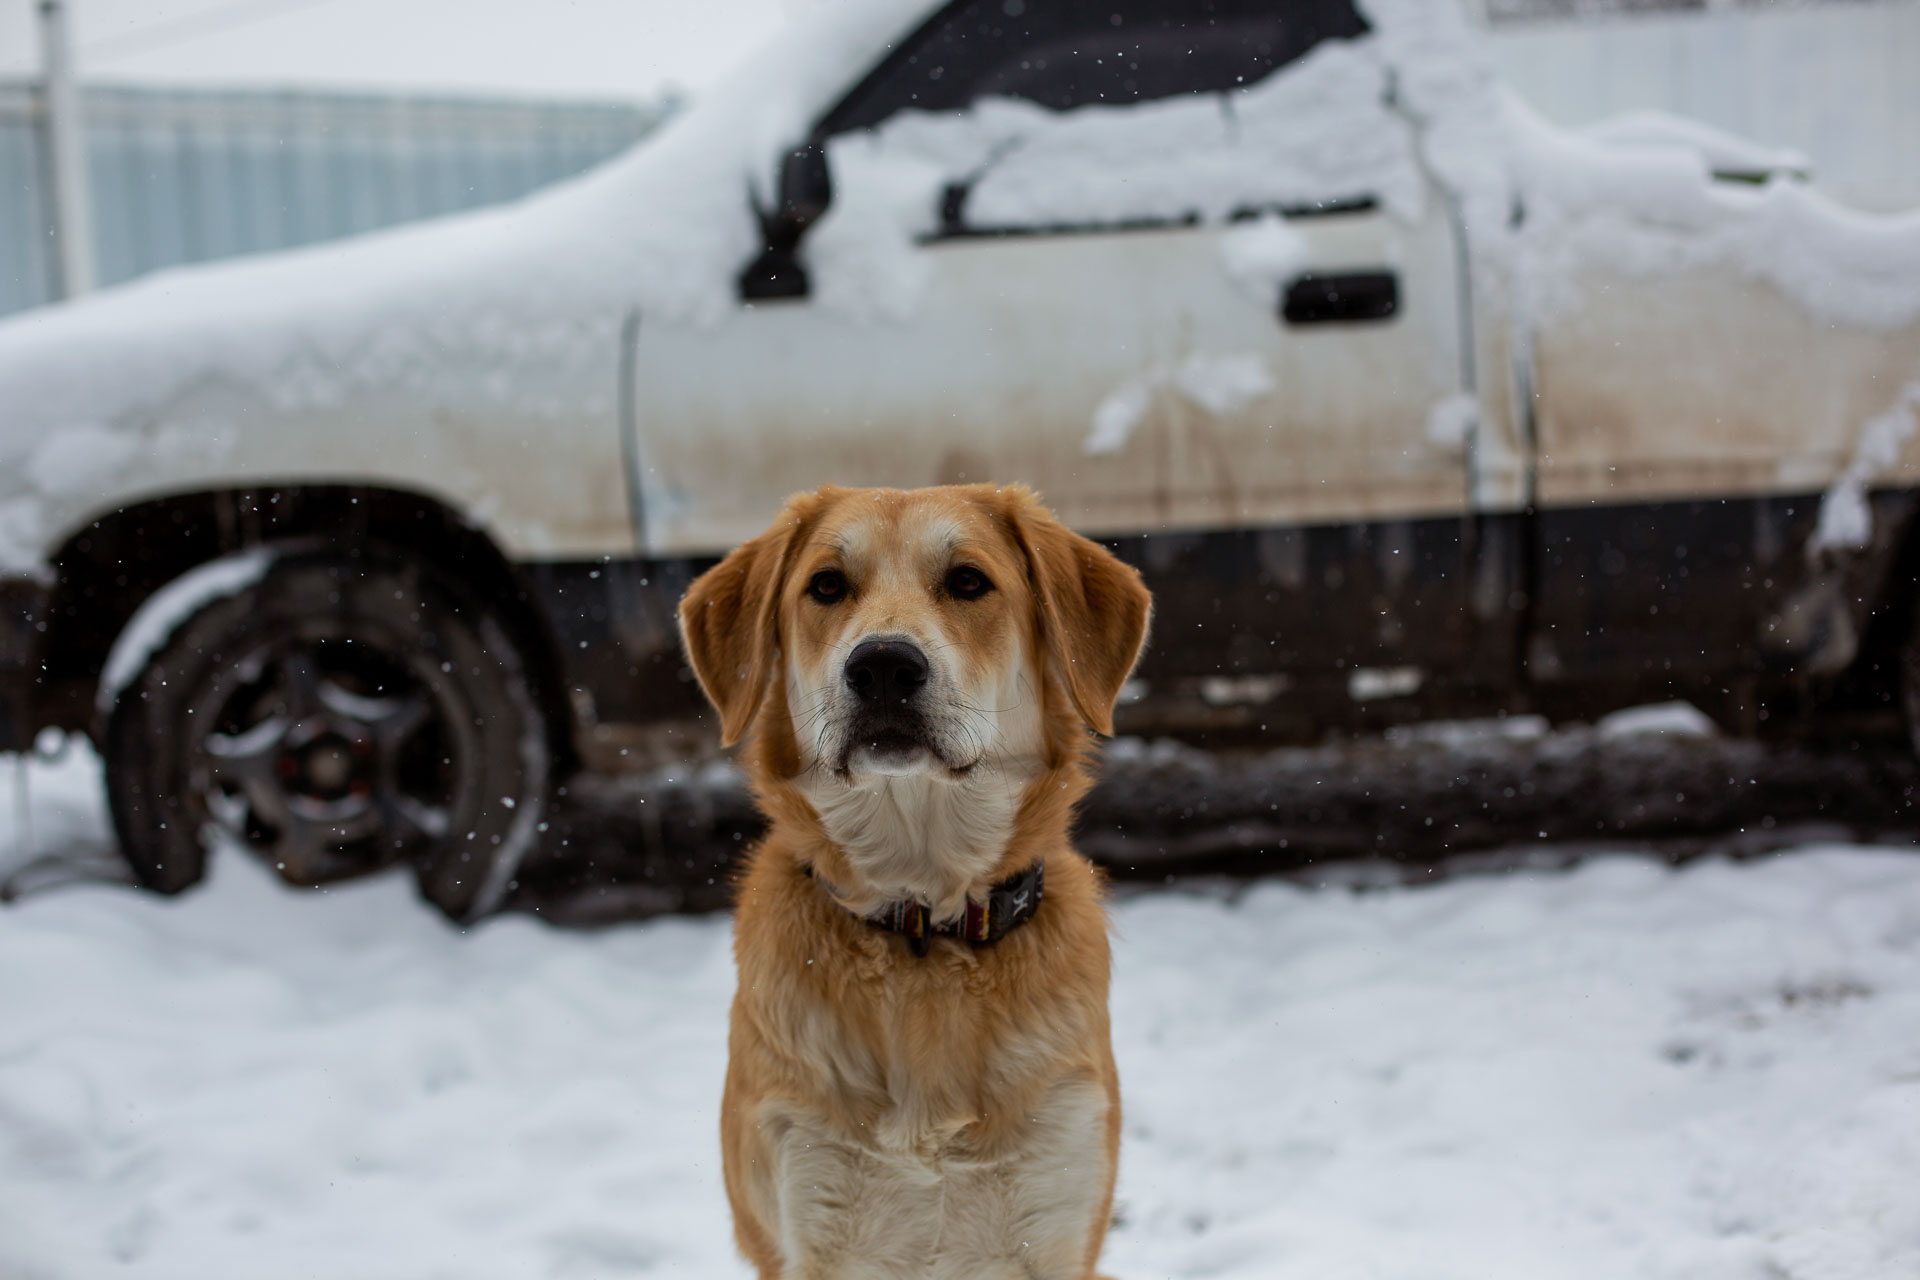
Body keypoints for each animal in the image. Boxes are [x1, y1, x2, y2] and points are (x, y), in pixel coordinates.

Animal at [683, 485, 1144, 1274]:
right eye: (826, 587)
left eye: (968, 581)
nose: (883, 666)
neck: (923, 916)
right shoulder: (807, 1208)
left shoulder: (1058, 1206)